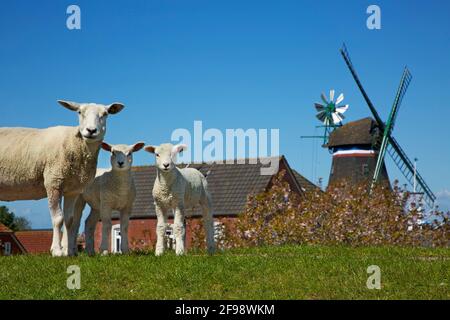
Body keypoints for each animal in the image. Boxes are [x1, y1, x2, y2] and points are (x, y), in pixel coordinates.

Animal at [0, 101, 125, 256]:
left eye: (105, 114)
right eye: (79, 112)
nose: (91, 130)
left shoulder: (72, 189)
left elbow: (69, 220)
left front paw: (68, 252)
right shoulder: (54, 182)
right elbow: (58, 219)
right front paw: (57, 250)